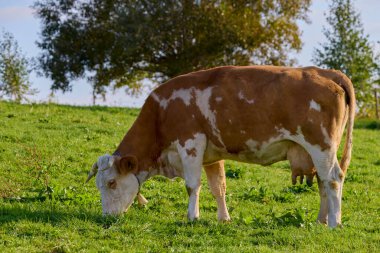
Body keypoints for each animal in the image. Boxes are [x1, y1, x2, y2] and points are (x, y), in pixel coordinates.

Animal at [85, 65, 354, 227]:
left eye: (111, 183)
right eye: (99, 184)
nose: (106, 218)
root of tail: (326, 72)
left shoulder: (191, 143)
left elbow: (192, 186)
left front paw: (192, 216)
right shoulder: (212, 156)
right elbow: (218, 187)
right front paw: (224, 218)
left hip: (321, 146)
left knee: (333, 179)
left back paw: (335, 222)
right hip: (317, 151)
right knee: (322, 182)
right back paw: (321, 219)